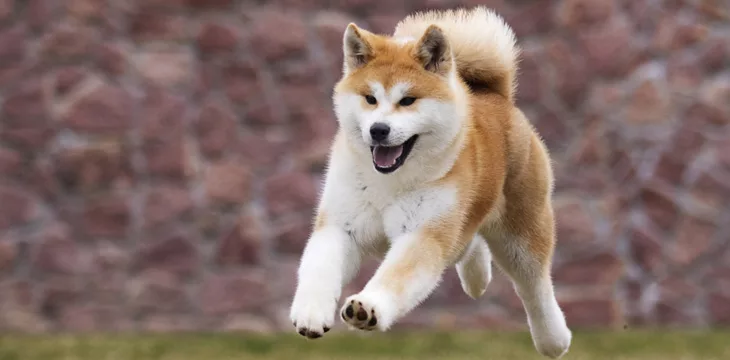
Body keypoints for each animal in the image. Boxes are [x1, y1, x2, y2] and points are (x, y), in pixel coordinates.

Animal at [288, 6, 572, 360]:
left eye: (408, 100)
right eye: (370, 98)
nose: (378, 129)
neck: (389, 183)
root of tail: (496, 96)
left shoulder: (423, 233)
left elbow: (396, 277)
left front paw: (368, 307)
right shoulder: (342, 224)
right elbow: (319, 268)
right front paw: (311, 313)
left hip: (522, 234)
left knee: (535, 287)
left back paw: (553, 339)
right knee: (470, 241)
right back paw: (477, 277)